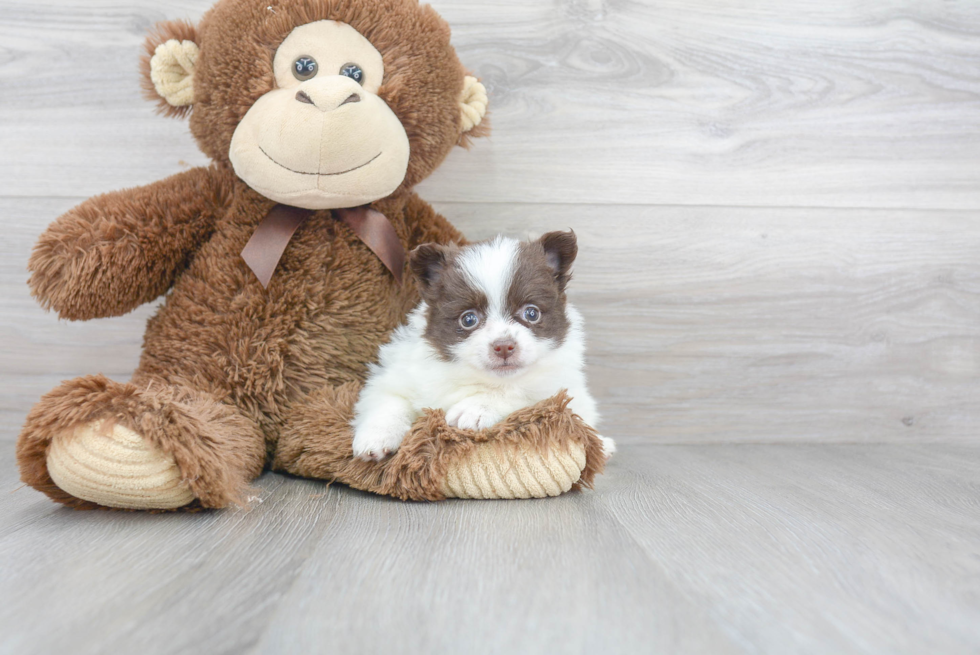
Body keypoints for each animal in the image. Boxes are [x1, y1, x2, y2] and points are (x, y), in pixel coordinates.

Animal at [348, 231, 616, 462]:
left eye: (531, 313)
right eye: (468, 319)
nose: (504, 346)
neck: (476, 377)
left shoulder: (555, 390)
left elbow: (519, 392)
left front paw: (475, 408)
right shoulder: (398, 374)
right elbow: (388, 400)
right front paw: (376, 436)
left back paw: (603, 445)